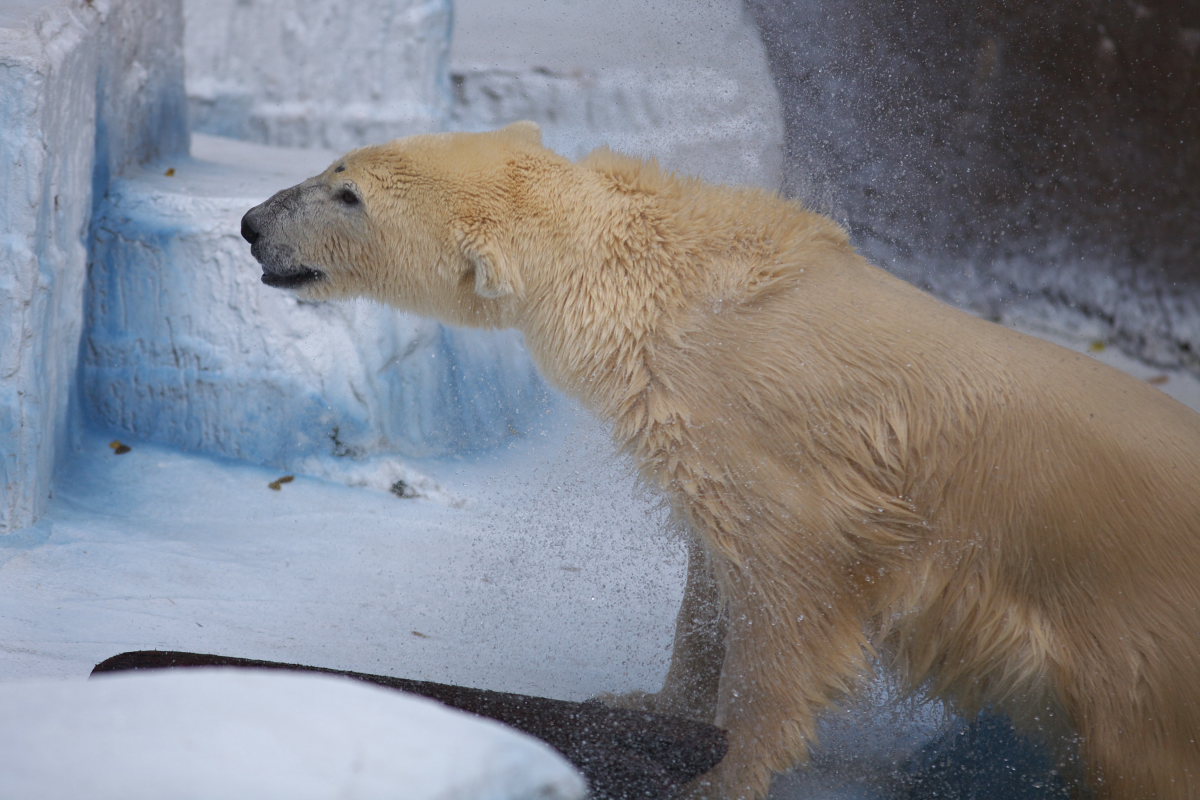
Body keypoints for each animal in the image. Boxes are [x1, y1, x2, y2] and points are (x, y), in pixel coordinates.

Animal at [241, 122, 1200, 796]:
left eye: (349, 194)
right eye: (334, 165)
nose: (251, 223)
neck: (668, 289)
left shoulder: (785, 452)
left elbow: (789, 604)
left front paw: (722, 771)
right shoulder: (711, 452)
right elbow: (711, 588)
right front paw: (643, 704)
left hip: (1140, 656)